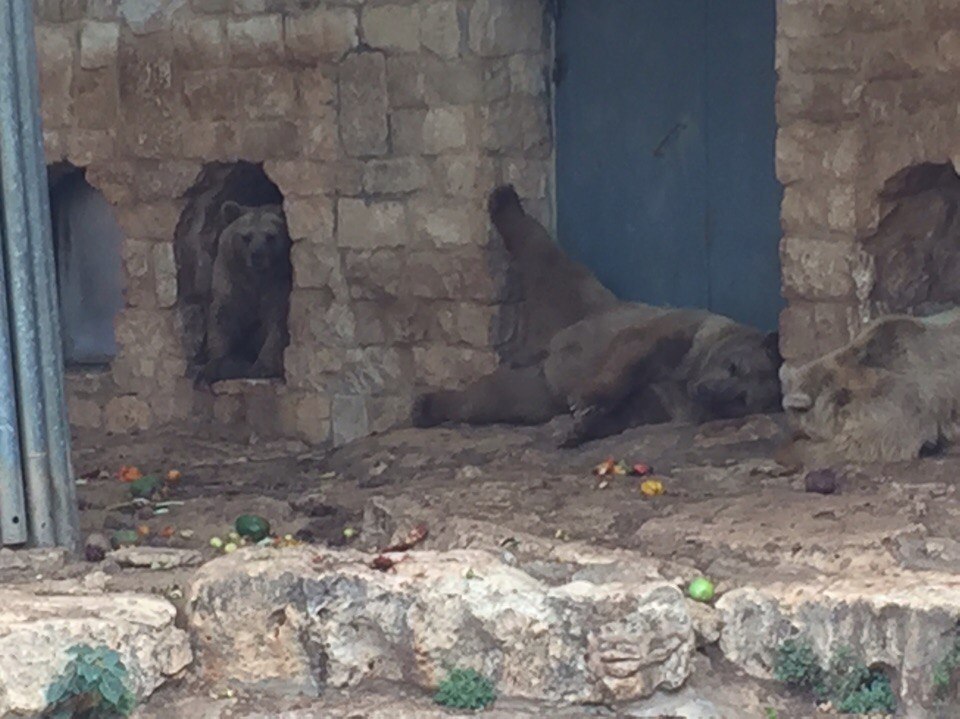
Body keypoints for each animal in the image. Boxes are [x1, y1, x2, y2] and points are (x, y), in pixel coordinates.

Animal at [196, 200, 292, 386]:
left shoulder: (278, 286)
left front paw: (263, 367)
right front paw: (217, 363)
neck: (256, 278)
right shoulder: (231, 283)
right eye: (246, 237)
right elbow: (222, 320)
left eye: (270, 236)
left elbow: (276, 323)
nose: (257, 254)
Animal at [410, 186, 780, 444]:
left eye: (741, 398)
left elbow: (631, 411)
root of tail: (545, 347)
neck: (688, 373)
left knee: (499, 398)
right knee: (546, 258)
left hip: (542, 386)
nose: (710, 391)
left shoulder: (668, 402)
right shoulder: (678, 331)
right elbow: (631, 355)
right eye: (734, 366)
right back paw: (504, 199)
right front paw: (587, 401)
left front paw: (579, 429)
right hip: (579, 305)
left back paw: (430, 407)